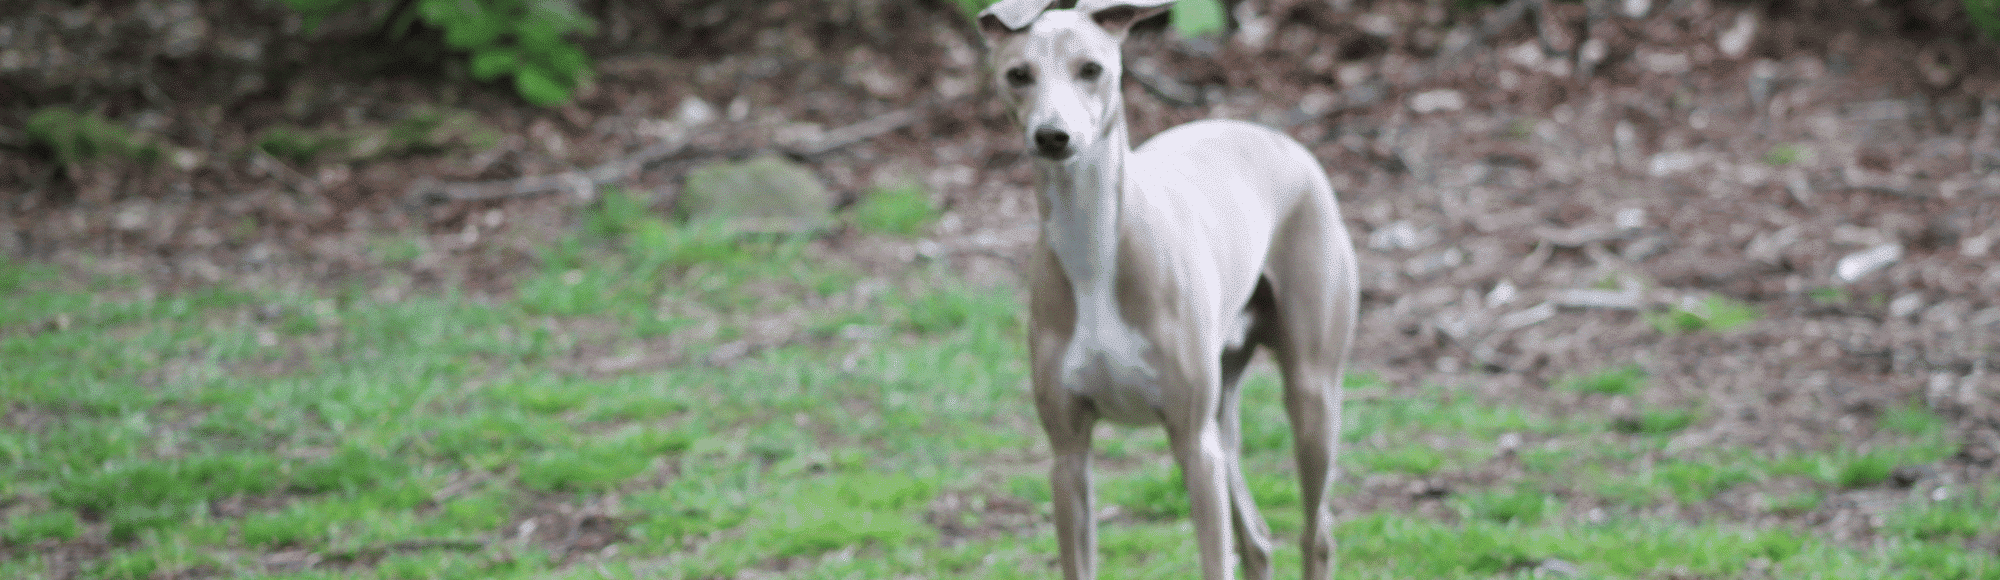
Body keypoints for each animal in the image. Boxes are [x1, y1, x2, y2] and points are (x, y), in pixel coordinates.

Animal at [980, 1, 1368, 580]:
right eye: (1017, 75)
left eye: (1091, 69)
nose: (1052, 136)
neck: (1096, 256)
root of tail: (1276, 135)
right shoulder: (1068, 456)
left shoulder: (1191, 444)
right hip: (1222, 417)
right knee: (1256, 540)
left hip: (1308, 396)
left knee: (1315, 534)